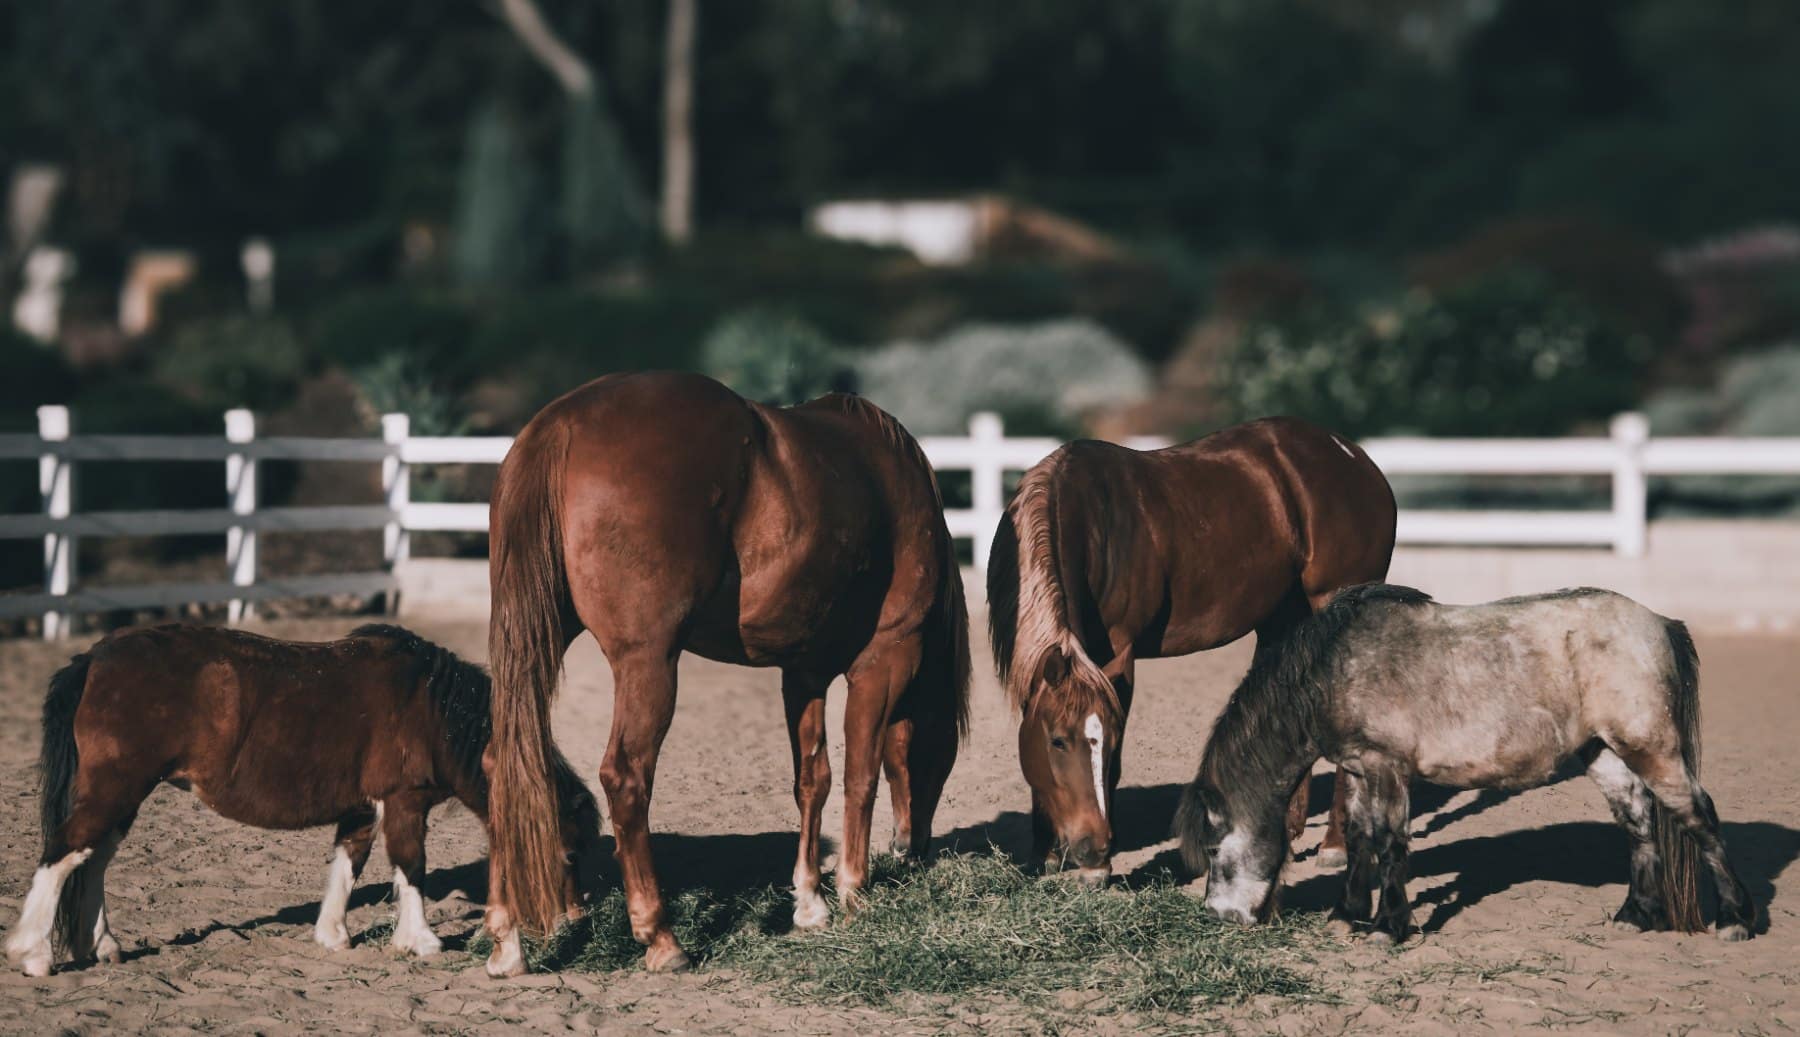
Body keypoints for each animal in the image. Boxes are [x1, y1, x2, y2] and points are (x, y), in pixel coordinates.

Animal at [3, 623, 604, 978]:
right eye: (569, 853)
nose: (575, 923)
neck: (432, 707)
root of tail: (95, 658)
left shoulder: (362, 806)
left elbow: (348, 863)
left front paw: (333, 936)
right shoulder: (404, 802)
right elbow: (410, 867)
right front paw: (421, 941)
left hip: (122, 796)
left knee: (92, 861)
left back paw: (100, 945)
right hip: (116, 788)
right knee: (63, 855)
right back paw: (33, 954)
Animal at [481, 371, 970, 977]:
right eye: (942, 753)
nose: (913, 847)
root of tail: (559, 424)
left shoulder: (803, 673)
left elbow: (813, 780)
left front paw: (810, 903)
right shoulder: (884, 661)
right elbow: (862, 775)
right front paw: (855, 893)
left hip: (538, 640)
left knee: (501, 763)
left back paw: (507, 941)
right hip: (648, 663)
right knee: (625, 776)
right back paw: (660, 937)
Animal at [987, 417, 1395, 884]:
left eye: (1109, 741)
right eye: (1057, 741)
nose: (1094, 846)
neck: (1083, 514)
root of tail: (1356, 459)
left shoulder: (1118, 653)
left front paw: (1098, 869)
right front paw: (1044, 854)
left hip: (1333, 601)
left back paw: (1334, 845)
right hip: (1284, 616)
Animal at [1176, 584, 1757, 943]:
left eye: (1213, 849)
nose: (1217, 917)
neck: (1333, 670)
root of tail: (1659, 623)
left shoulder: (1388, 768)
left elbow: (1390, 842)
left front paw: (1388, 927)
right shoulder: (1361, 770)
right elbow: (1360, 839)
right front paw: (1347, 916)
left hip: (1651, 748)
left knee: (1700, 816)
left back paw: (1734, 920)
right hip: (1605, 753)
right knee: (1638, 824)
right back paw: (1635, 916)